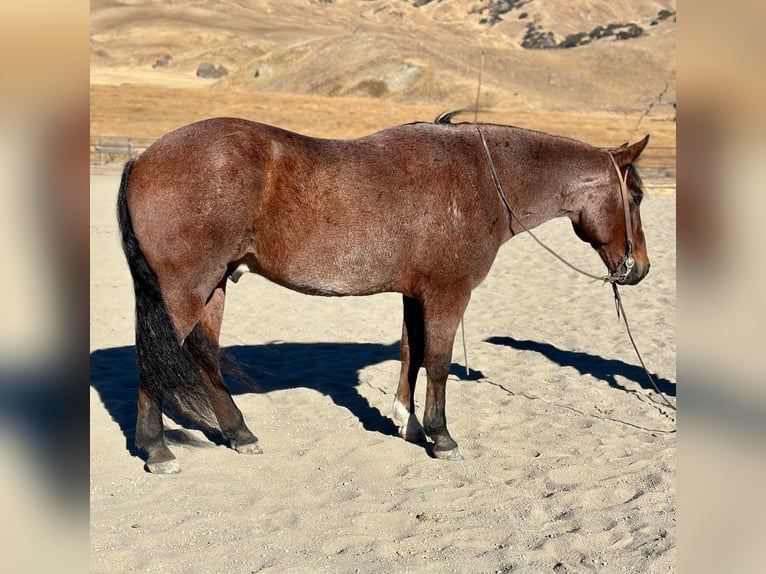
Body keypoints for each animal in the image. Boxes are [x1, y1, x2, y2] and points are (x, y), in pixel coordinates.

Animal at [117, 115, 652, 474]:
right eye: (637, 196)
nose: (640, 269)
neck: (481, 177)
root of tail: (142, 158)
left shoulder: (415, 294)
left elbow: (410, 353)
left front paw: (408, 424)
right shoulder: (446, 293)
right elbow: (437, 362)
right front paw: (441, 437)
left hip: (213, 287)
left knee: (202, 354)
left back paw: (239, 434)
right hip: (184, 290)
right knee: (154, 358)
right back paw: (158, 450)